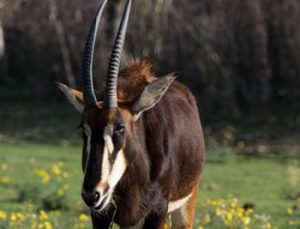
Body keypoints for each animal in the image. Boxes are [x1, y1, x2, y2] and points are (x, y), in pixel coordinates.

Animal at [57, 0, 205, 227]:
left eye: (120, 127)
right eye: (83, 129)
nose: (92, 195)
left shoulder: (158, 210)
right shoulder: (101, 214)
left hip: (186, 202)